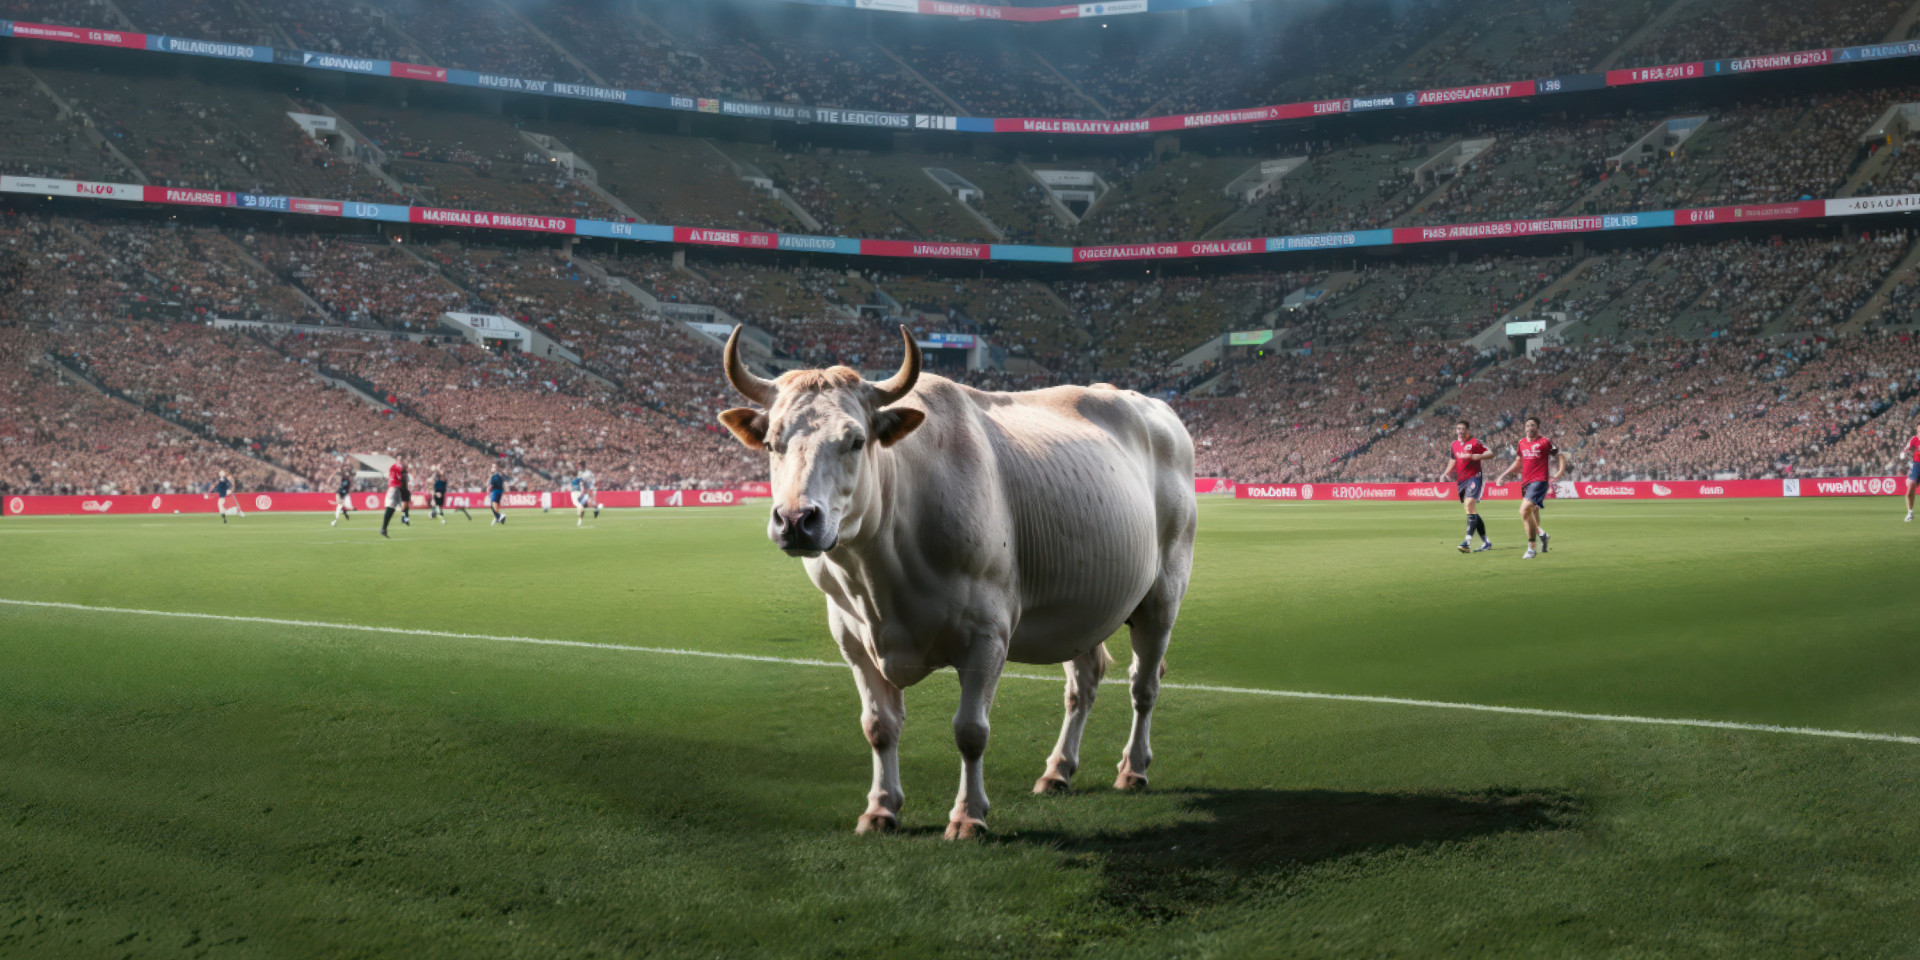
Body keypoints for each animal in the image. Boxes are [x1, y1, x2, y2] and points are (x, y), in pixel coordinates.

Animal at [716, 326, 1197, 838]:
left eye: (856, 440)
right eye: (772, 443)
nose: (796, 520)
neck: (881, 573)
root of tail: (1155, 408)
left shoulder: (988, 633)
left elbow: (971, 730)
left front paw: (968, 815)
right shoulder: (851, 636)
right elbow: (878, 726)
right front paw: (881, 807)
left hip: (1164, 591)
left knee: (1144, 684)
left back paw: (1134, 768)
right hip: (1083, 604)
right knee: (1083, 684)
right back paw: (1058, 769)